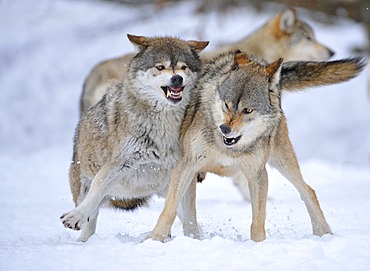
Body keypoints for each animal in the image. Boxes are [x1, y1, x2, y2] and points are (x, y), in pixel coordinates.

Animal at [60, 33, 208, 242]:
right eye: (160, 67)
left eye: (183, 67)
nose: (177, 78)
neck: (165, 124)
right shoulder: (118, 164)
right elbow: (96, 191)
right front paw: (75, 217)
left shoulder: (185, 169)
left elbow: (190, 216)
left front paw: (193, 240)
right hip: (85, 188)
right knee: (90, 219)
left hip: (165, 188)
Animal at [147, 51, 364, 244]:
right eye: (226, 105)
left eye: (248, 110)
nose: (225, 128)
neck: (227, 147)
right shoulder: (187, 165)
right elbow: (169, 209)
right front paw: (155, 239)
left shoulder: (257, 173)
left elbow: (258, 221)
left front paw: (258, 246)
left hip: (282, 161)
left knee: (308, 190)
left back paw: (324, 233)